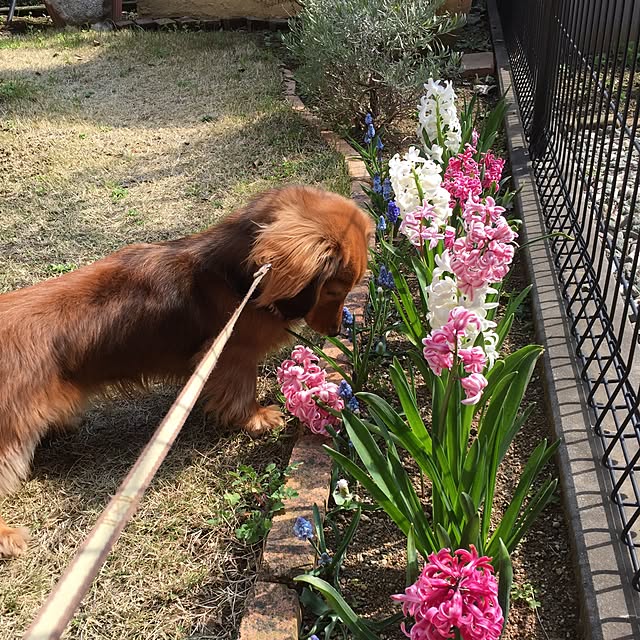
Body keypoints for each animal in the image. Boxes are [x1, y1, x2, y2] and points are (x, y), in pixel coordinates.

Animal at [0, 185, 373, 558]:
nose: (338, 331)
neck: (238, 277)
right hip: (12, 435)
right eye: (335, 289)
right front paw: (256, 418)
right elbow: (242, 391)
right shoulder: (231, 354)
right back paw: (7, 535)